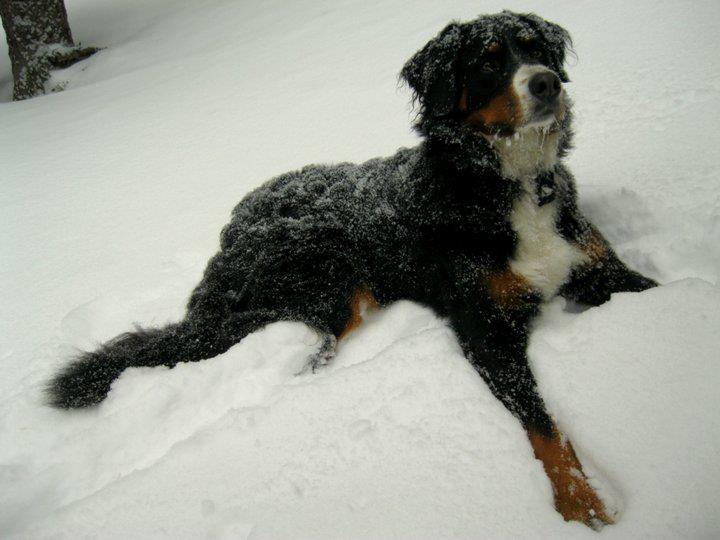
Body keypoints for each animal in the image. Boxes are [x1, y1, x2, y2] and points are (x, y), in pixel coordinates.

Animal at [47, 10, 660, 528]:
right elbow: (542, 427)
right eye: (488, 62)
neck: (507, 186)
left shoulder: (599, 270)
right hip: (333, 284)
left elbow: (657, 288)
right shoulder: (485, 328)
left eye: (535, 48)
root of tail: (231, 231)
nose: (546, 83)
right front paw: (581, 502)